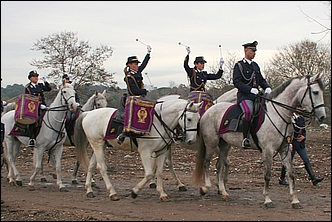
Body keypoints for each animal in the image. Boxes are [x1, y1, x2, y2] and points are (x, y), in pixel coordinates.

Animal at [74, 99, 202, 201]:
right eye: (189, 119)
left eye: (198, 119)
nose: (191, 140)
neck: (158, 122)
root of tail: (88, 114)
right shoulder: (145, 152)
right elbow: (149, 174)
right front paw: (134, 192)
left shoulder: (161, 151)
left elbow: (160, 172)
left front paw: (162, 193)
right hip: (97, 144)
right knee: (101, 167)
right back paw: (112, 193)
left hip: (101, 145)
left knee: (91, 165)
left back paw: (89, 190)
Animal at [193, 74, 326, 208]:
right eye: (315, 92)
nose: (322, 116)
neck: (278, 114)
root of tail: (209, 110)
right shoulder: (268, 150)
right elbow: (267, 175)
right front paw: (267, 199)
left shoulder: (285, 149)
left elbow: (291, 174)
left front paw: (295, 200)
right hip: (211, 143)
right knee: (206, 163)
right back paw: (205, 188)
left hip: (224, 145)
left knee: (219, 165)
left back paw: (223, 192)